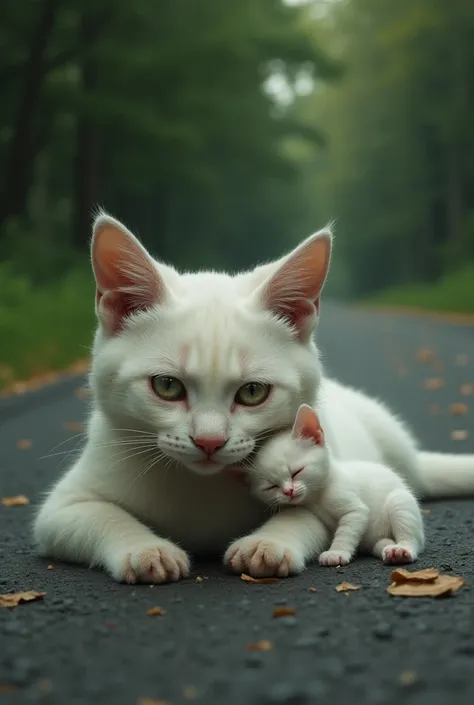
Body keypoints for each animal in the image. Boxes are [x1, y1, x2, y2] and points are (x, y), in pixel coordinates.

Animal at [250, 404, 424, 564]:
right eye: (271, 486)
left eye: (296, 472)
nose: (288, 491)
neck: (318, 496)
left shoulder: (354, 509)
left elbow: (346, 532)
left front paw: (336, 553)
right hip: (377, 539)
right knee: (382, 542)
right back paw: (389, 550)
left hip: (399, 501)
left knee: (412, 537)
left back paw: (402, 549)